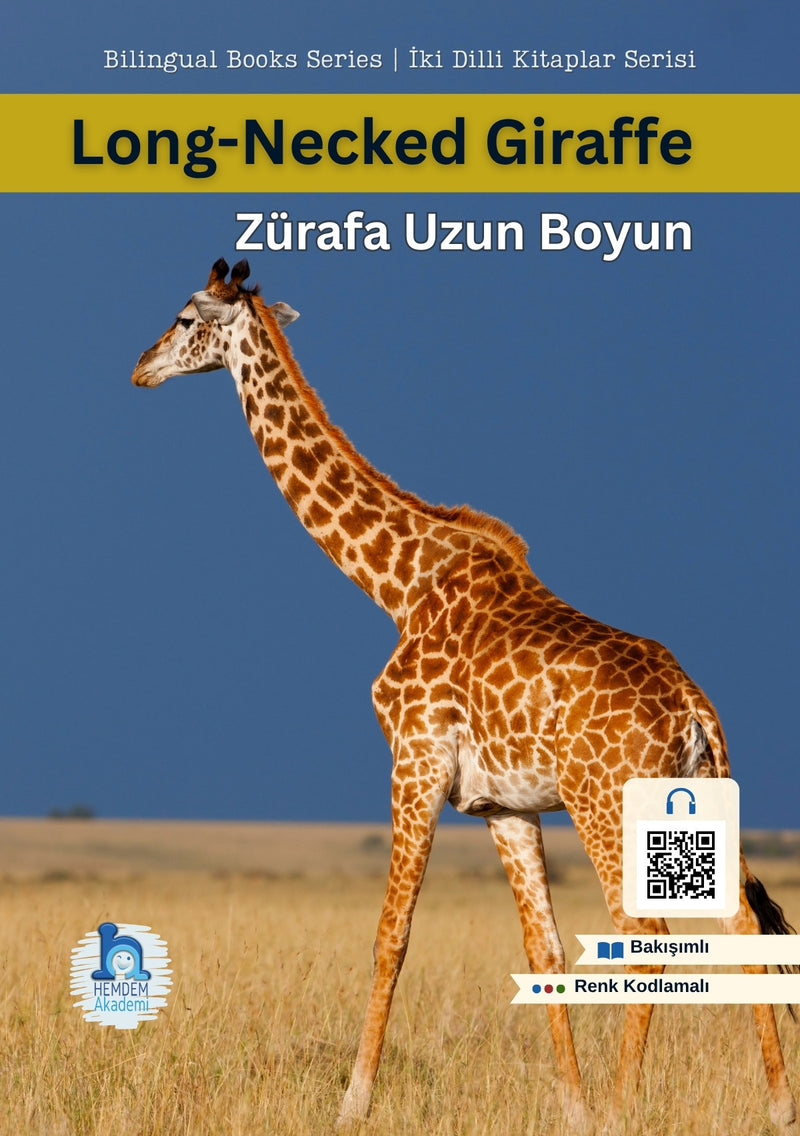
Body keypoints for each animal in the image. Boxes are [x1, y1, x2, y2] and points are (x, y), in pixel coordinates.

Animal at [132, 258, 797, 1131]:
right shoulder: (504, 805)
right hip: (702, 802)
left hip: (609, 803)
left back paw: (630, 1106)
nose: (140, 368)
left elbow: (391, 935)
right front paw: (572, 1108)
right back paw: (778, 1104)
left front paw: (353, 1102)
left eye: (183, 318)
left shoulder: (414, 763)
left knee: (644, 930)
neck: (397, 582)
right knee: (742, 922)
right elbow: (542, 948)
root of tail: (696, 712)